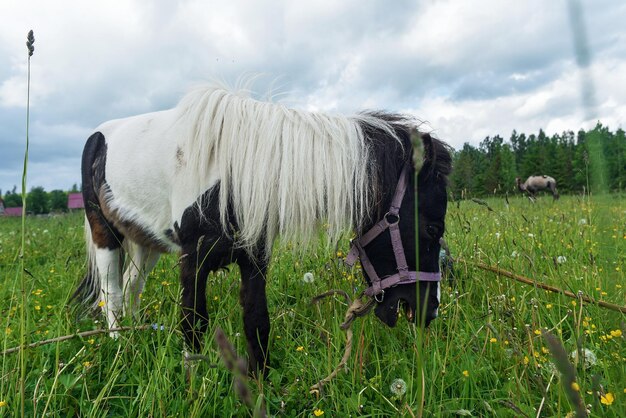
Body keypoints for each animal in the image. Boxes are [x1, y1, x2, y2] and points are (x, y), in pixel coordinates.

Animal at [72, 83, 448, 370]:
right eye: (432, 229)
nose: (429, 311)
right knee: (111, 292)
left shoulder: (254, 259)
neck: (235, 172)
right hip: (105, 233)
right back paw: (120, 346)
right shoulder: (193, 261)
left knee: (132, 287)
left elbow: (257, 322)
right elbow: (194, 324)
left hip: (146, 241)